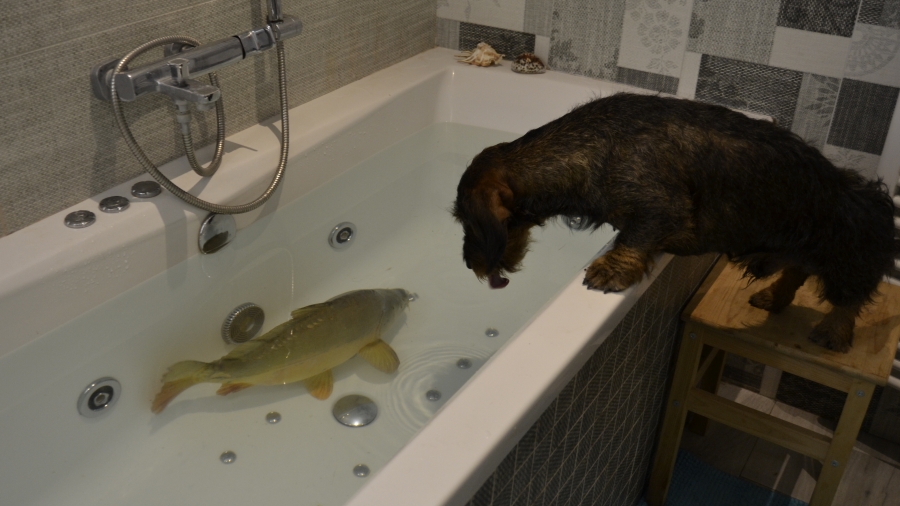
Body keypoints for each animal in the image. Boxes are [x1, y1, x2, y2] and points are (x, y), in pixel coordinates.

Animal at [452, 93, 898, 352]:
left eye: (466, 222)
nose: (468, 263)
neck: (591, 144)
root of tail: (879, 206)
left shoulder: (661, 205)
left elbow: (638, 233)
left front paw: (612, 267)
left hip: (847, 256)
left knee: (849, 296)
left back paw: (833, 330)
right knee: (797, 269)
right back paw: (775, 295)